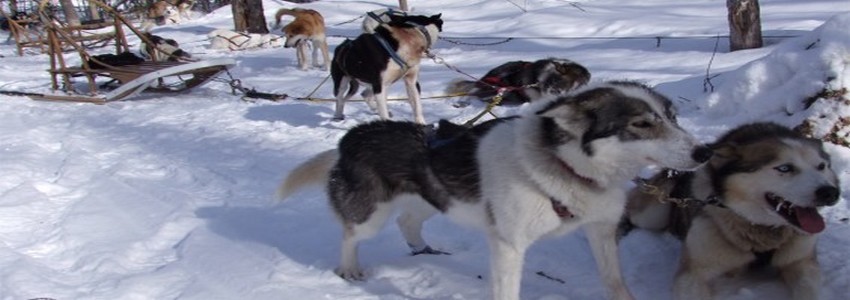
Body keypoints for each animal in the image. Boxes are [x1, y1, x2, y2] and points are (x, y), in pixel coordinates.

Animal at [278, 80, 708, 300]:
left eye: (672, 117)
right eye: (641, 124)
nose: (704, 152)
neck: (563, 166)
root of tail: (352, 136)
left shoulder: (600, 231)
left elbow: (615, 281)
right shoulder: (508, 246)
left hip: (433, 199)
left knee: (408, 221)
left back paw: (424, 249)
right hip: (372, 214)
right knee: (351, 234)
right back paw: (349, 269)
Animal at [628, 122, 840, 300]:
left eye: (821, 166)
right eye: (785, 168)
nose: (830, 192)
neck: (760, 228)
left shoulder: (802, 262)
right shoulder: (692, 273)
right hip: (651, 214)